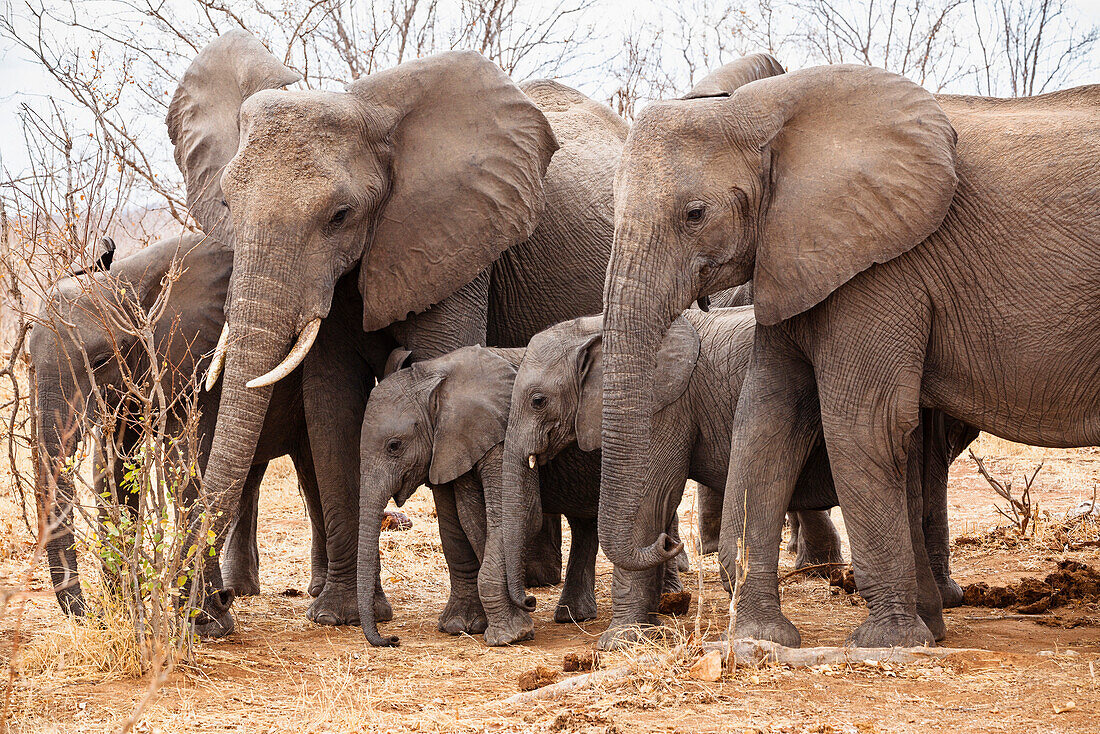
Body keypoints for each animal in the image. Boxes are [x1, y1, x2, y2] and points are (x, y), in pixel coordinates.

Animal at [171, 31, 620, 633]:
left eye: (340, 215)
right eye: (225, 203)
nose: (213, 611)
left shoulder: (453, 243)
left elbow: (445, 380)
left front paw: (467, 624)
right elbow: (332, 409)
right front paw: (336, 616)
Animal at [602, 51, 1100, 647]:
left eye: (695, 213)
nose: (665, 543)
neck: (763, 110)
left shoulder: (884, 264)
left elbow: (863, 422)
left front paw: (889, 644)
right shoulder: (796, 253)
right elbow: (766, 415)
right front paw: (761, 640)